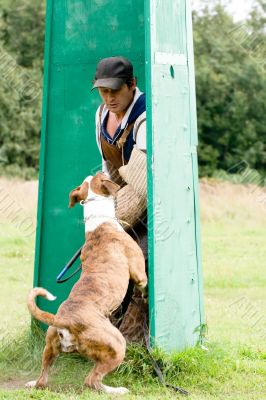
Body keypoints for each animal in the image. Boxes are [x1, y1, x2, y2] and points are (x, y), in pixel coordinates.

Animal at [26, 172, 148, 394]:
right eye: (102, 175)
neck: (99, 222)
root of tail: (64, 321)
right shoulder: (138, 272)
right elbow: (143, 283)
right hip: (117, 345)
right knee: (92, 380)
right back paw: (116, 391)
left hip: (50, 347)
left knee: (42, 379)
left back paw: (33, 382)